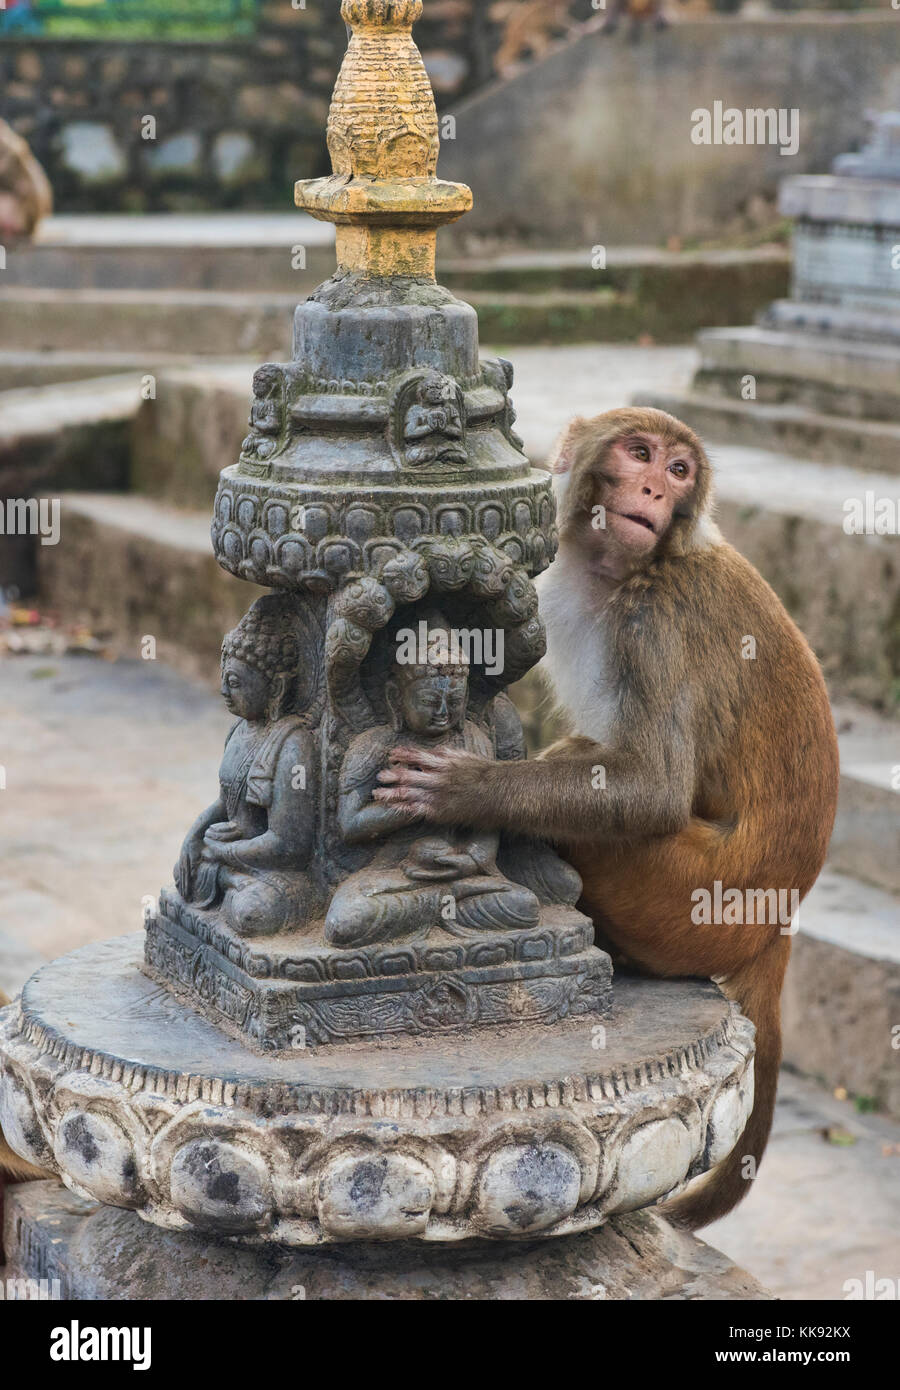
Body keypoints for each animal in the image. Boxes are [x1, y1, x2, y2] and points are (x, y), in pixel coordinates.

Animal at [375, 405, 840, 1228]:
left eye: (680, 472)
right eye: (640, 453)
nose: (655, 488)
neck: (630, 570)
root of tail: (778, 923)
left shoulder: (654, 622)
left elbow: (651, 789)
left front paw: (466, 790)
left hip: (682, 895)